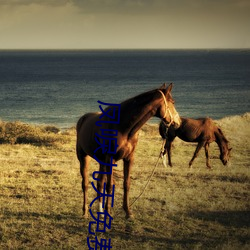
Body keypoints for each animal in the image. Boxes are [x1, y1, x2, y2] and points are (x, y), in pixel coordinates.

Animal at [75, 83, 180, 218]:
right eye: (173, 102)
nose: (178, 122)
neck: (123, 127)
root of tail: (82, 119)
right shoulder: (110, 158)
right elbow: (110, 185)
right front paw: (109, 212)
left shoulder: (129, 158)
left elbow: (126, 183)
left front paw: (128, 212)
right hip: (84, 157)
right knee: (85, 183)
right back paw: (85, 212)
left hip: (101, 161)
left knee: (100, 182)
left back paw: (100, 212)